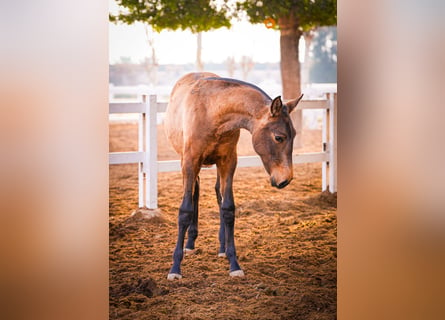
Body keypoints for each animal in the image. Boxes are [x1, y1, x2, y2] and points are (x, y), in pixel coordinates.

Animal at [165, 71, 304, 278]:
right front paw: (175, 267)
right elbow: (185, 210)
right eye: (279, 137)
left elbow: (228, 208)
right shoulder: (189, 162)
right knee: (195, 193)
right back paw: (190, 243)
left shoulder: (228, 162)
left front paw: (234, 263)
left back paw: (222, 247)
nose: (285, 179)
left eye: (294, 135)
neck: (212, 111)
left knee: (218, 194)